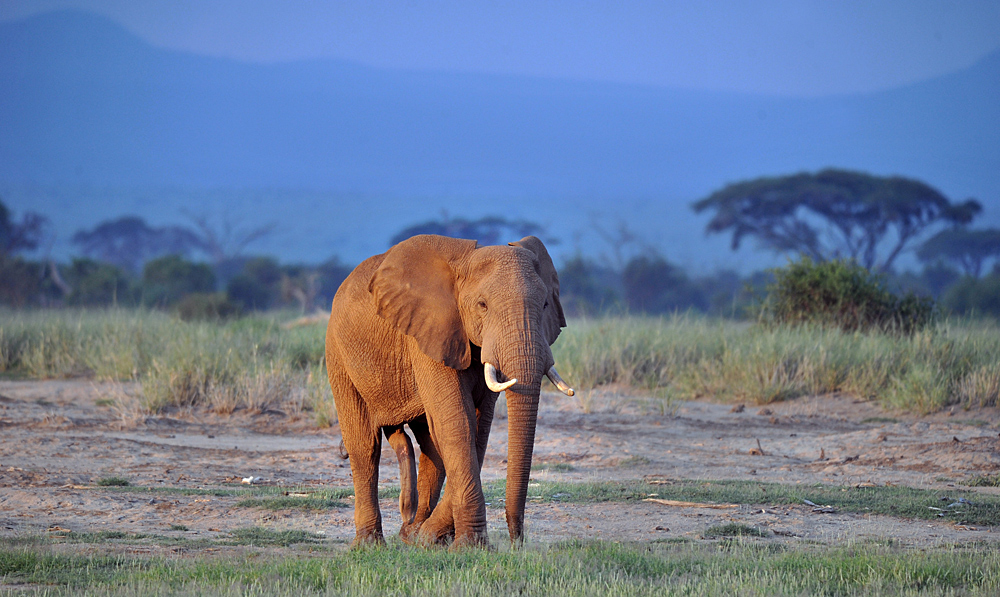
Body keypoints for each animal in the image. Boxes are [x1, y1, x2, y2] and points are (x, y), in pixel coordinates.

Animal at [325, 234, 574, 548]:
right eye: (482, 305)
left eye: (544, 305)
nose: (517, 542)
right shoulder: (429, 331)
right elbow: (457, 423)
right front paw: (470, 546)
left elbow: (477, 426)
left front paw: (432, 538)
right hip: (338, 353)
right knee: (365, 445)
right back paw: (371, 544)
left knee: (430, 444)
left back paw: (412, 535)